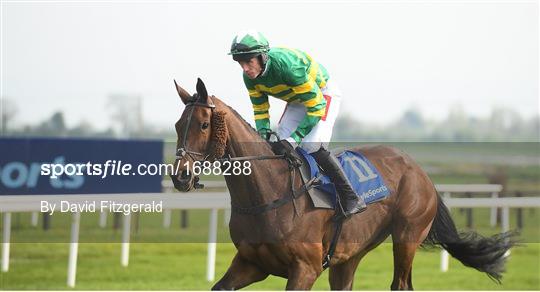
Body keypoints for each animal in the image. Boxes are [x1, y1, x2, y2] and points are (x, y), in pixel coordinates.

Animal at [169, 77, 516, 290]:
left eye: (203, 124)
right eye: (176, 124)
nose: (180, 176)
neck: (268, 193)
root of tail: (420, 171)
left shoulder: (305, 269)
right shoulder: (250, 263)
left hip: (407, 235)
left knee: (401, 283)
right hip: (349, 255)